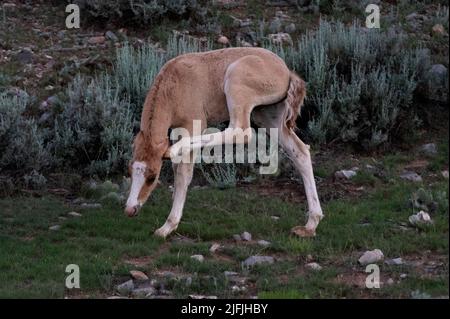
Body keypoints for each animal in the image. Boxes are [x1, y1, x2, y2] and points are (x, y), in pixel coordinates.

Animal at [124, 47, 324, 238]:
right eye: (131, 170)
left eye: (152, 177)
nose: (130, 209)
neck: (173, 83)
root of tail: (287, 72)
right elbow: (176, 169)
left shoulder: (193, 124)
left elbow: (183, 173)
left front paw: (167, 227)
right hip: (267, 116)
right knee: (300, 152)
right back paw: (310, 225)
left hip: (237, 82)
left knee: (241, 131)